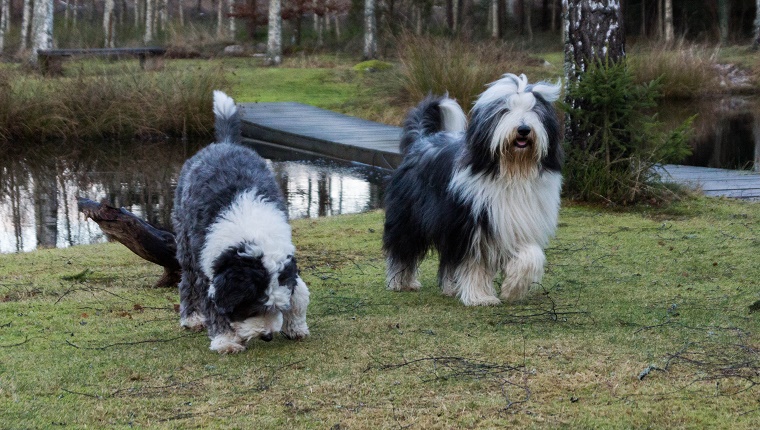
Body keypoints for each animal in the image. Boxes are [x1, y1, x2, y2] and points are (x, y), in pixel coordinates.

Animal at [174, 90, 310, 352]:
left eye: (274, 307)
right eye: (252, 307)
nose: (267, 335)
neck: (252, 229)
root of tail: (226, 144)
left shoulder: (287, 267)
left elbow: (298, 293)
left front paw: (296, 327)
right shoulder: (211, 270)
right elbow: (214, 306)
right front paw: (226, 341)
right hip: (185, 240)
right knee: (188, 280)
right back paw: (191, 317)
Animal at [382, 73, 560, 306]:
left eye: (535, 111)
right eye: (505, 110)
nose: (523, 129)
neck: (512, 173)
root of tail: (421, 141)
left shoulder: (518, 222)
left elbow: (532, 255)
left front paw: (513, 288)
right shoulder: (472, 225)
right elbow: (475, 263)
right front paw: (480, 297)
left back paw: (450, 287)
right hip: (409, 218)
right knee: (403, 248)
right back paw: (401, 282)